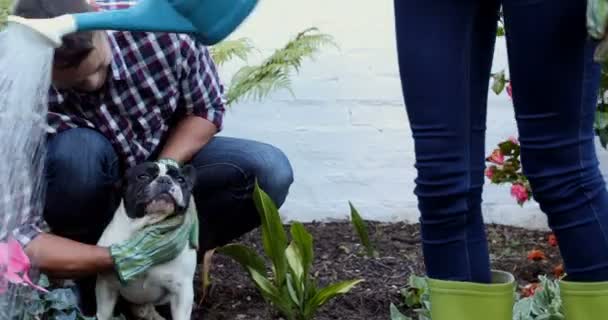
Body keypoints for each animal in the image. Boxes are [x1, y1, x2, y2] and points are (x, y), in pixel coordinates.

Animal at [95, 161, 197, 320]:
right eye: (143, 176)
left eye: (181, 180)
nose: (165, 180)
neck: (146, 225)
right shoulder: (106, 286)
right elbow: (104, 314)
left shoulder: (181, 291)